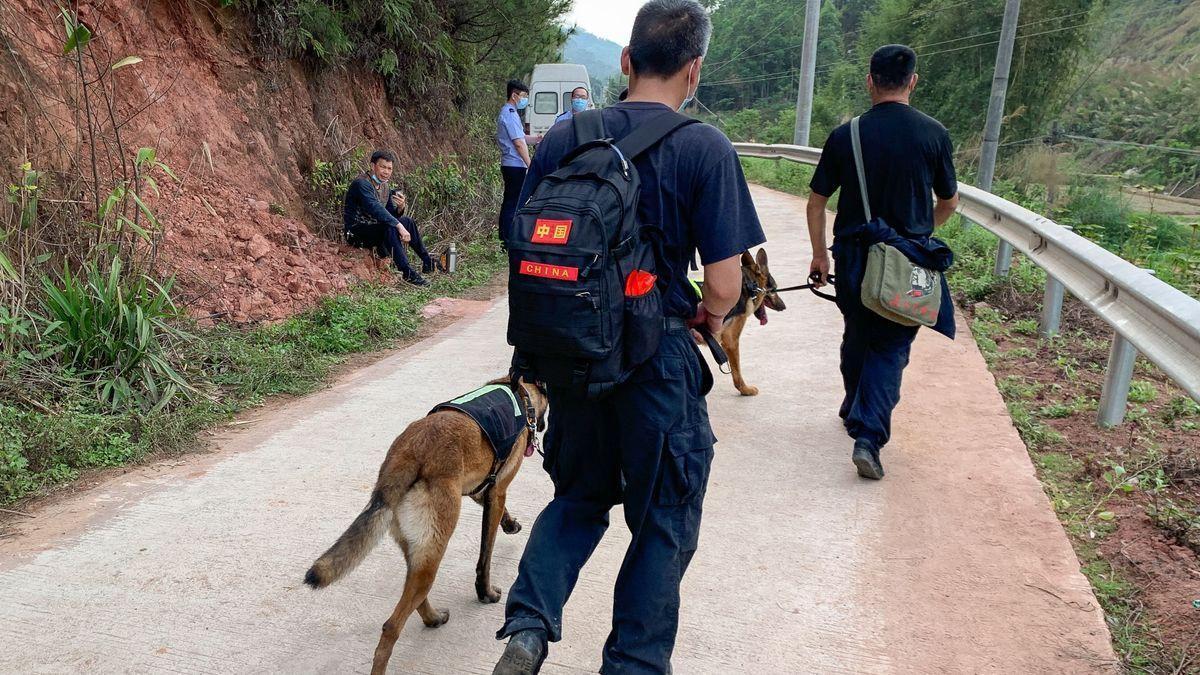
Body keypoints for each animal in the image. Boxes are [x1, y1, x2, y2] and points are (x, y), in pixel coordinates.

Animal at [309, 374, 552, 667]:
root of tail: (404, 456)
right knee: (391, 626)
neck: (520, 393)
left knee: (415, 596)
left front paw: (511, 523)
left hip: (420, 550)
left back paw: (433, 618)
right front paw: (485, 593)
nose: (542, 430)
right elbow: (485, 555)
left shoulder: (479, 490)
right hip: (435, 547)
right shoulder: (497, 492)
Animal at [715, 247, 782, 393]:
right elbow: (737, 372)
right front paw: (744, 390)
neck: (748, 286)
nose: (783, 306)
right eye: (774, 289)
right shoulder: (731, 341)